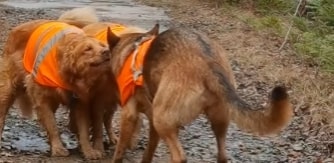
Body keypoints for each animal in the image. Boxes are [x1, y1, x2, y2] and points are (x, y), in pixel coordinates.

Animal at [0, 7, 112, 159]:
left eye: (101, 45)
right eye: (87, 49)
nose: (106, 51)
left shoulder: (80, 101)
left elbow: (83, 130)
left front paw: (88, 151)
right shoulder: (42, 99)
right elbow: (52, 125)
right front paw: (58, 148)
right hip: (8, 88)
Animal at [105, 24, 294, 163]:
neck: (131, 47)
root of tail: (207, 62)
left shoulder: (131, 116)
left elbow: (120, 150)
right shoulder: (154, 125)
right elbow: (149, 151)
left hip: (162, 119)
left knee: (179, 157)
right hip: (218, 121)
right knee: (222, 155)